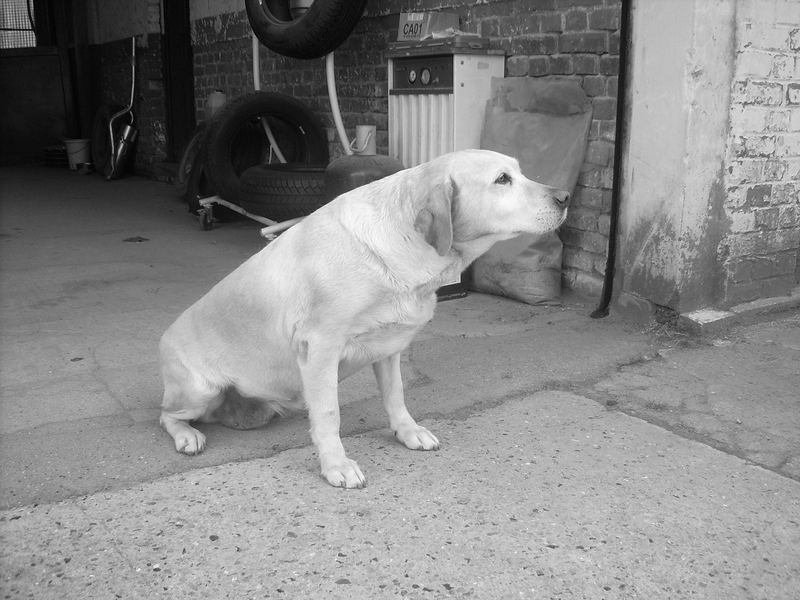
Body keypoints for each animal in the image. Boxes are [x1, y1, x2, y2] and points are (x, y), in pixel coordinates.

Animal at [158, 149, 568, 488]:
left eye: (519, 171)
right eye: (502, 179)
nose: (564, 197)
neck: (404, 243)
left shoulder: (388, 346)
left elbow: (396, 395)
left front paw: (407, 432)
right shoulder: (319, 347)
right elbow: (329, 414)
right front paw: (335, 465)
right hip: (199, 389)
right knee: (165, 415)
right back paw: (187, 435)